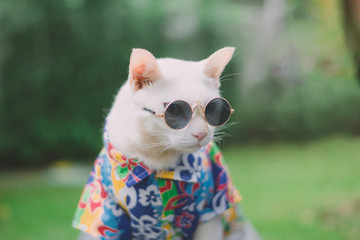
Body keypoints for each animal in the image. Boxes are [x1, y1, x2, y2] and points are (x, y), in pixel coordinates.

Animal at [73, 47, 260, 239]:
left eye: (213, 109)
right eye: (175, 109)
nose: (201, 133)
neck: (157, 157)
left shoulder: (212, 209)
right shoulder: (107, 217)